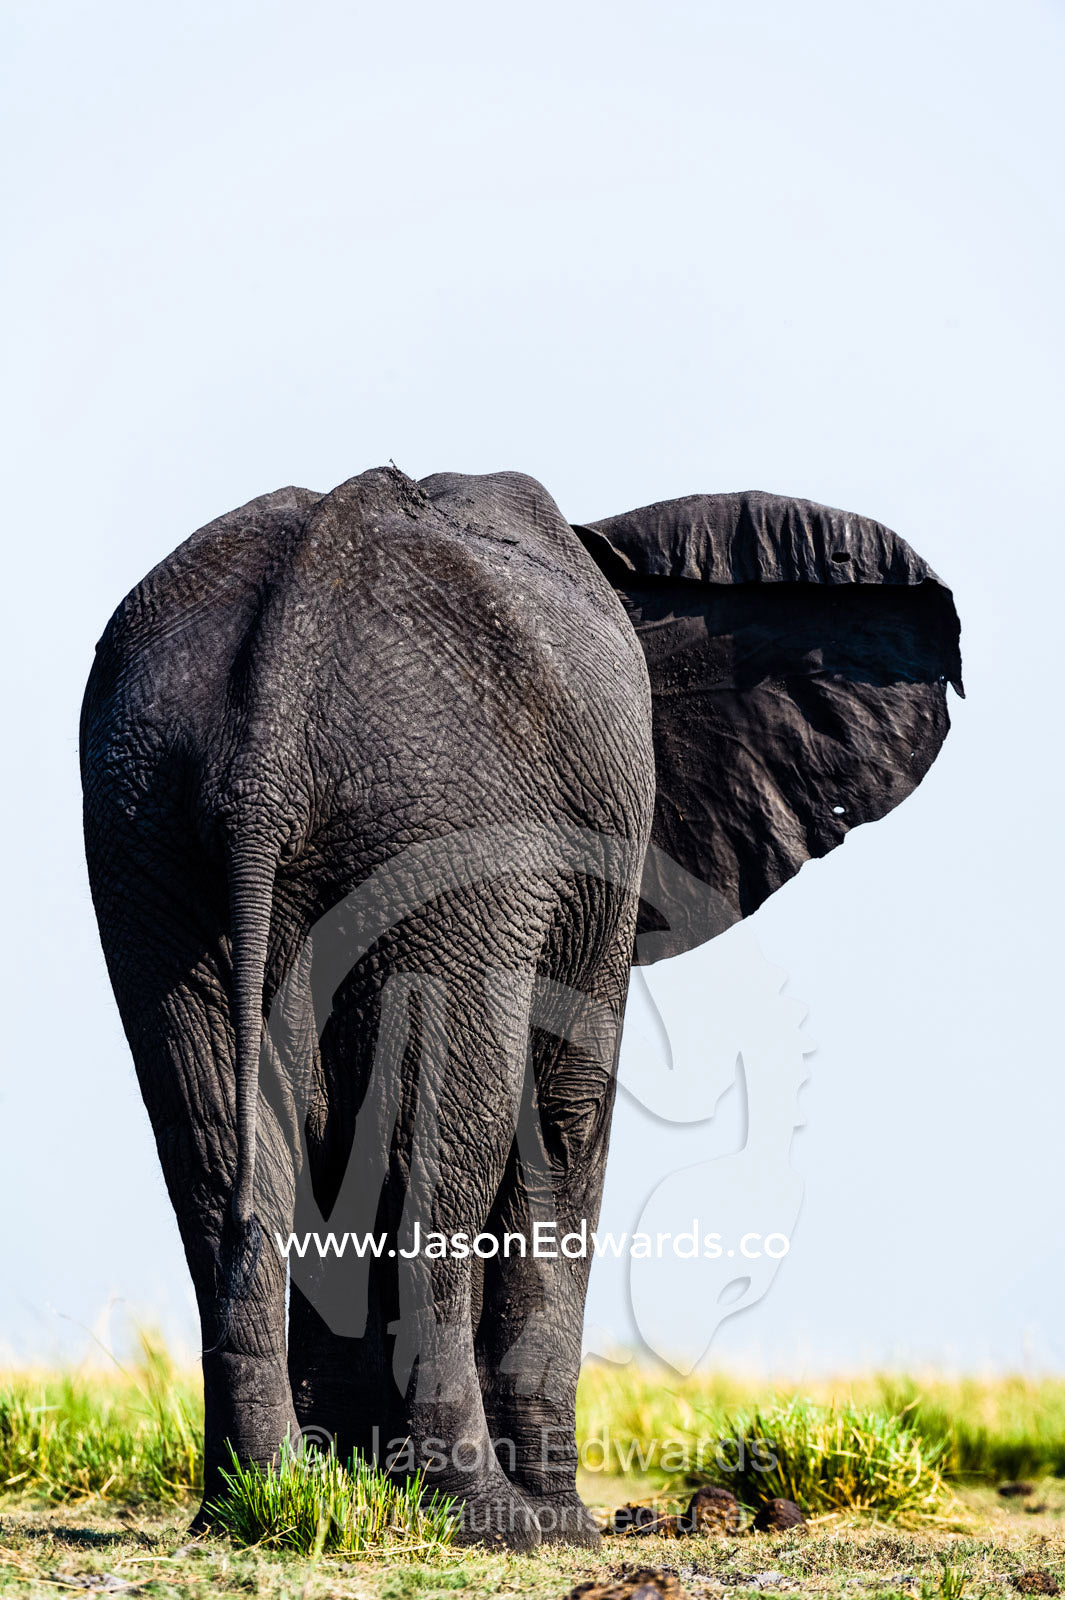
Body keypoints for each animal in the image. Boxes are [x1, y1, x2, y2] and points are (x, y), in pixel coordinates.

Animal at [80, 466, 961, 1548]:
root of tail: (265, 735)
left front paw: (362, 1482)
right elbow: (566, 1115)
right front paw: (557, 1521)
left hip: (150, 835)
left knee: (213, 1151)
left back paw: (259, 1506)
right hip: (442, 842)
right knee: (437, 1152)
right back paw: (493, 1518)